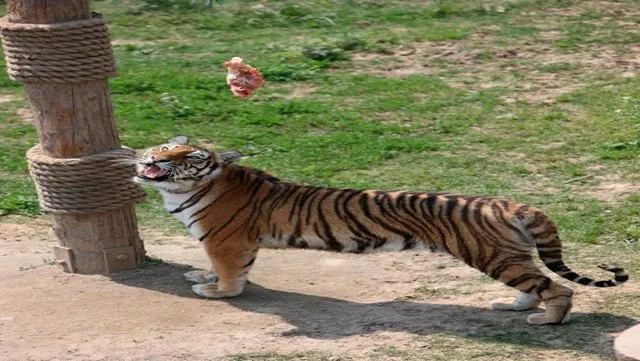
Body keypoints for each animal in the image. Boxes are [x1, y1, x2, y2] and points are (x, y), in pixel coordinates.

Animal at [132, 136, 628, 324]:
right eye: (165, 146)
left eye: (189, 156)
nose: (151, 158)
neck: (179, 192)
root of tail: (508, 201)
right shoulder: (231, 245)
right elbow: (223, 268)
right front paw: (202, 277)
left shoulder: (225, 241)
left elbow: (231, 275)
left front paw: (216, 292)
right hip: (507, 257)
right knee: (535, 283)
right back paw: (514, 305)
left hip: (494, 256)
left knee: (557, 287)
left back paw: (547, 319)